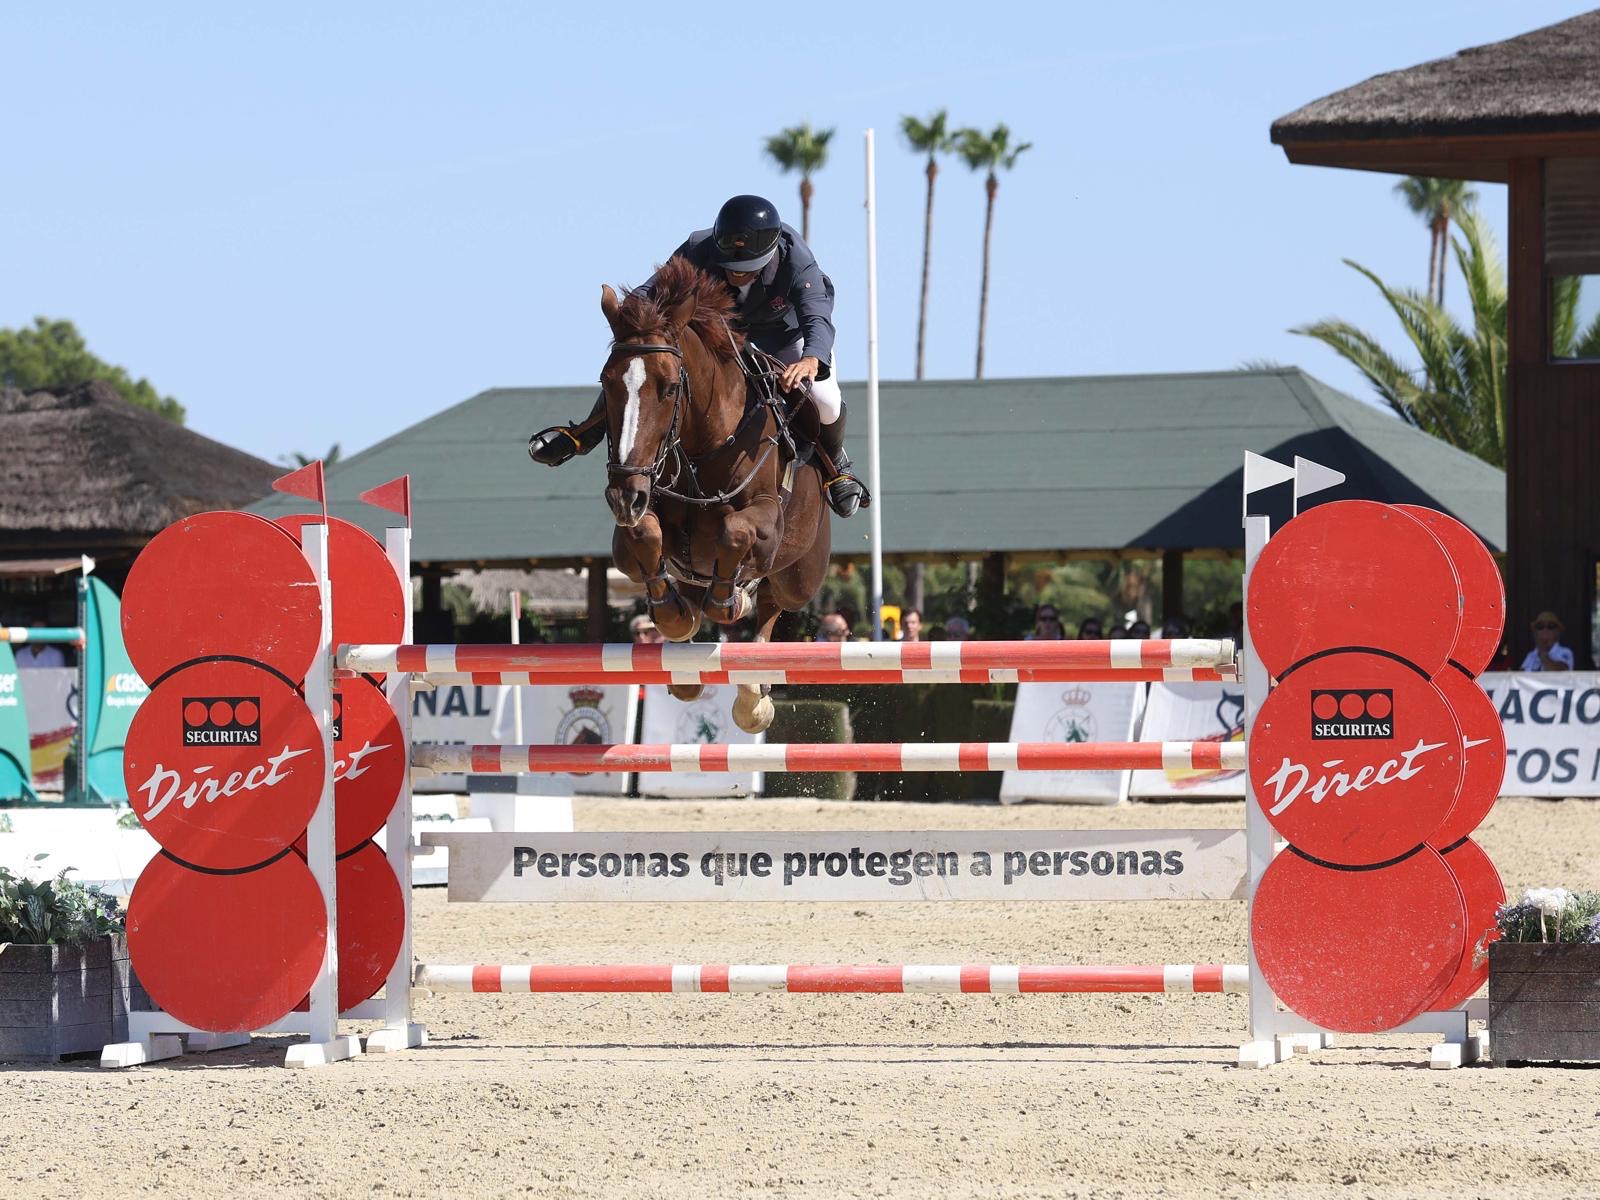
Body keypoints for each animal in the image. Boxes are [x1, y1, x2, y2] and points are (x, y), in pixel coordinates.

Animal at [595, 259, 832, 739]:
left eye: (670, 388)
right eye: (606, 384)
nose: (624, 495)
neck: (701, 450)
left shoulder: (766, 528)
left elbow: (734, 531)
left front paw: (729, 600)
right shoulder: (632, 534)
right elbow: (646, 536)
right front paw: (673, 616)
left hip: (800, 576)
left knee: (772, 607)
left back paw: (751, 695)